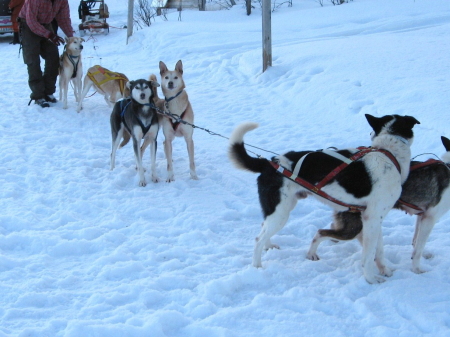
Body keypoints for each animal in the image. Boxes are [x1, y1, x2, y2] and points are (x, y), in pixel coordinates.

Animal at [230, 114, 420, 282]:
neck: (389, 152)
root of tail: (270, 163)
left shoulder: (374, 219)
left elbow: (379, 250)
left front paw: (384, 270)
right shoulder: (372, 218)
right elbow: (368, 255)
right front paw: (371, 278)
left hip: (279, 210)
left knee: (264, 227)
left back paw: (269, 246)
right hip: (281, 213)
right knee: (258, 239)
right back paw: (257, 267)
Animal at [308, 135, 450, 274]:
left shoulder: (422, 215)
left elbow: (416, 240)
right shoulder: (430, 218)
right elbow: (419, 249)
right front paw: (417, 269)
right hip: (354, 227)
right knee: (322, 233)